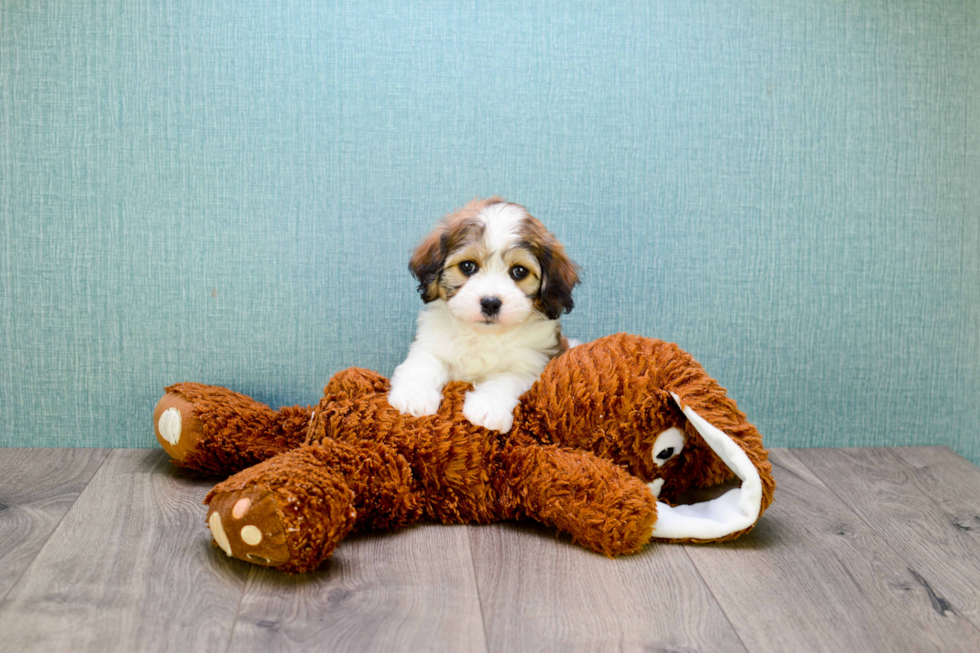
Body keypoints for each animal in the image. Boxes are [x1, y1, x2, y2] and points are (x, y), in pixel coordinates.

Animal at [386, 199, 580, 432]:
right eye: (467, 266)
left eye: (519, 271)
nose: (490, 302)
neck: (483, 335)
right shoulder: (430, 343)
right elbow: (423, 365)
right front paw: (414, 395)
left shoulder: (531, 364)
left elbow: (505, 381)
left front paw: (489, 407)